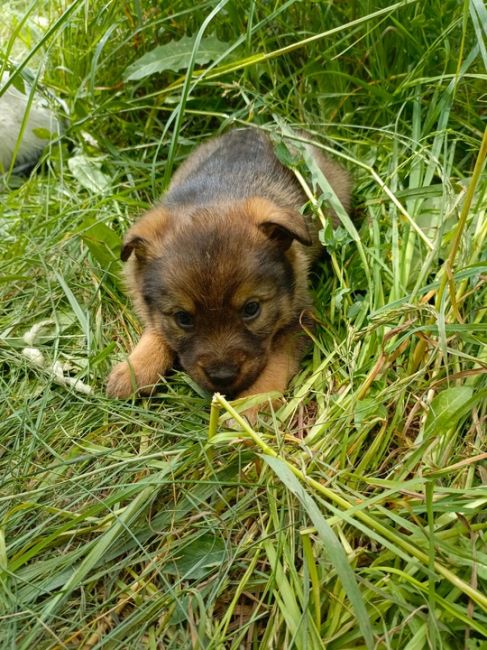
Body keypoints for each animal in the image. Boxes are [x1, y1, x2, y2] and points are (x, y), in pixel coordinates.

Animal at [107, 126, 350, 404]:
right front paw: (135, 369)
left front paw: (252, 404)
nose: (222, 377)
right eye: (182, 318)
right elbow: (156, 328)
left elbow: (276, 361)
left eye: (251, 309)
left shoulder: (300, 318)